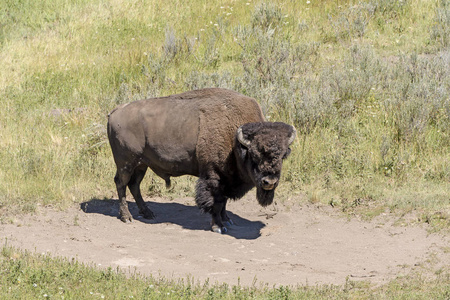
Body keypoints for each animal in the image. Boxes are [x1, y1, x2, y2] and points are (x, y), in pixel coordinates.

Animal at [107, 88, 298, 233]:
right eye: (254, 155)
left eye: (283, 155)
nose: (269, 182)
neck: (236, 142)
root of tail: (115, 112)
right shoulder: (214, 177)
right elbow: (216, 202)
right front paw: (218, 227)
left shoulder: (226, 179)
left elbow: (224, 202)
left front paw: (227, 220)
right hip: (126, 163)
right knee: (121, 184)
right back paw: (127, 217)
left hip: (141, 164)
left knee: (134, 185)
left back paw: (148, 213)